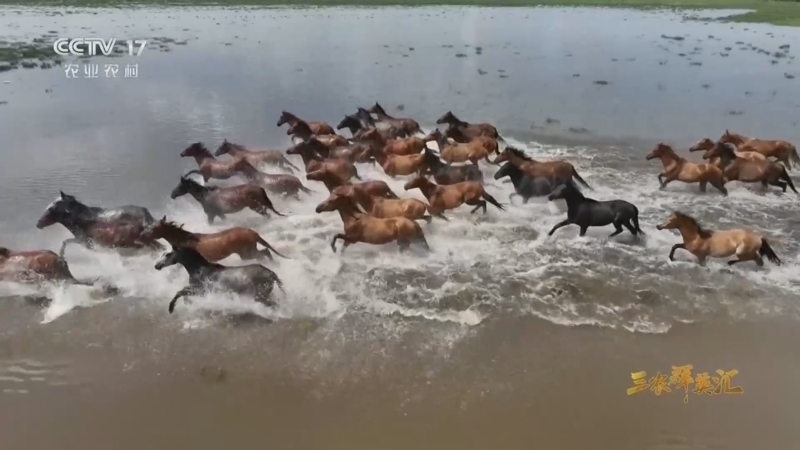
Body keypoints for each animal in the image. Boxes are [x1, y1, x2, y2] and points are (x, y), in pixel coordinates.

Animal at [141, 216, 288, 262]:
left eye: (153, 228)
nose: (142, 234)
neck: (184, 239)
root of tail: (253, 233)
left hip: (247, 253)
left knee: (265, 253)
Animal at [155, 245, 284, 314]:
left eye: (167, 254)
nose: (157, 266)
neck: (199, 269)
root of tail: (271, 273)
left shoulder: (200, 290)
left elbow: (180, 292)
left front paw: (171, 308)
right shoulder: (199, 291)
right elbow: (183, 292)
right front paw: (187, 303)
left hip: (260, 296)